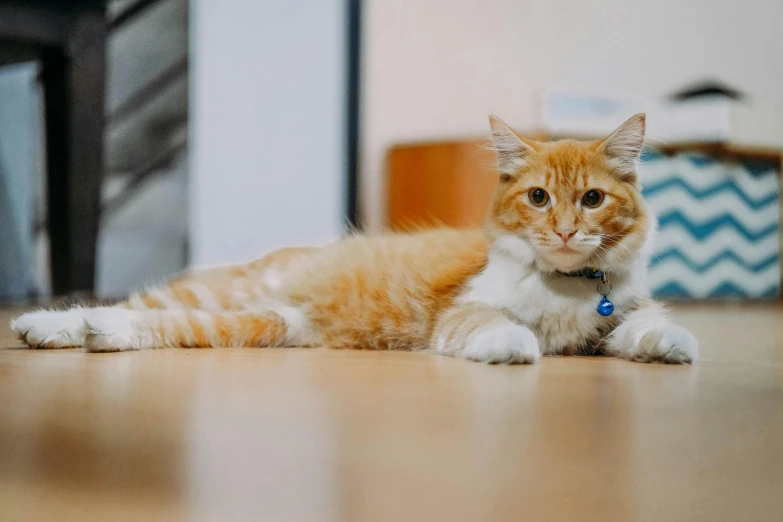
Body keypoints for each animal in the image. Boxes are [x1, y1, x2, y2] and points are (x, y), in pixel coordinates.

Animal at [10, 113, 700, 362]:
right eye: (538, 198)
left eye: (591, 200)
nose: (564, 229)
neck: (565, 289)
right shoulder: (463, 311)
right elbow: (498, 326)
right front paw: (515, 346)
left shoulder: (617, 318)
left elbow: (646, 326)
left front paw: (674, 344)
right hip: (226, 294)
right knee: (129, 305)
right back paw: (45, 323)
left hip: (271, 323)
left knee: (157, 324)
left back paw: (89, 333)